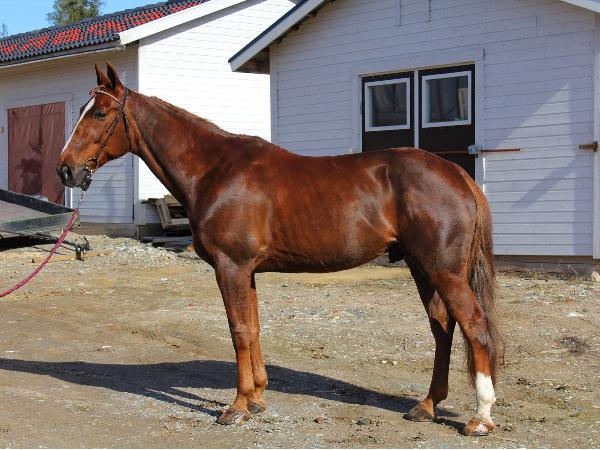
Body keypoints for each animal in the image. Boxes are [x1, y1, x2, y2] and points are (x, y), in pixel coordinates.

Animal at [57, 63, 503, 436]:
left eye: (100, 114)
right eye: (81, 109)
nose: (66, 169)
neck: (214, 169)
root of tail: (457, 172)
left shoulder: (231, 267)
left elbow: (238, 330)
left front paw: (237, 407)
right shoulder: (247, 272)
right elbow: (253, 328)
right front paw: (256, 398)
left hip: (442, 270)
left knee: (474, 325)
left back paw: (481, 417)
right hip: (421, 267)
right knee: (443, 328)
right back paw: (426, 405)